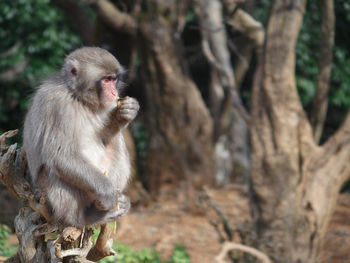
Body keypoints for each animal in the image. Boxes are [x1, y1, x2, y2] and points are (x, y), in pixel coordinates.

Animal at [21, 47, 139, 229]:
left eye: (114, 79)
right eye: (106, 80)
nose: (114, 92)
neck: (77, 97)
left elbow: (104, 136)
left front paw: (127, 113)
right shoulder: (60, 108)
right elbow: (61, 155)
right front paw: (107, 192)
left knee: (116, 140)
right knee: (53, 169)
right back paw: (84, 217)